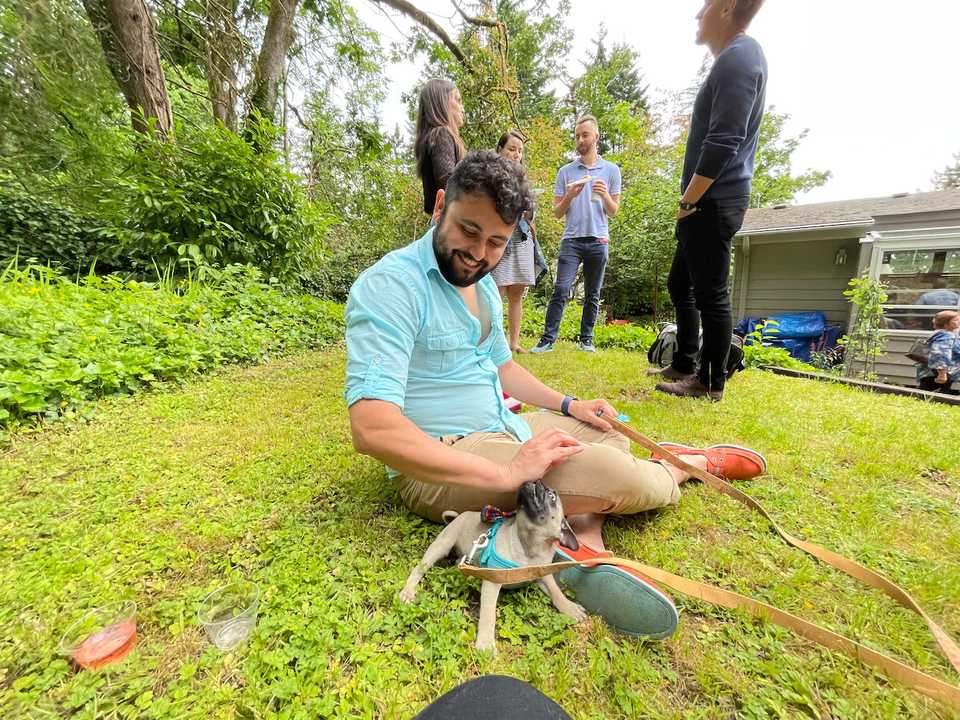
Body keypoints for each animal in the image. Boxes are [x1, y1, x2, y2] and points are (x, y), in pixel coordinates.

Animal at [398, 480, 584, 656]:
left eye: (552, 496)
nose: (535, 480)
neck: (527, 547)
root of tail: (459, 516)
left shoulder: (542, 573)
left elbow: (555, 590)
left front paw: (569, 607)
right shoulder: (492, 581)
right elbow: (489, 614)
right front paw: (486, 643)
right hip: (442, 544)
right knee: (419, 569)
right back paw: (408, 591)